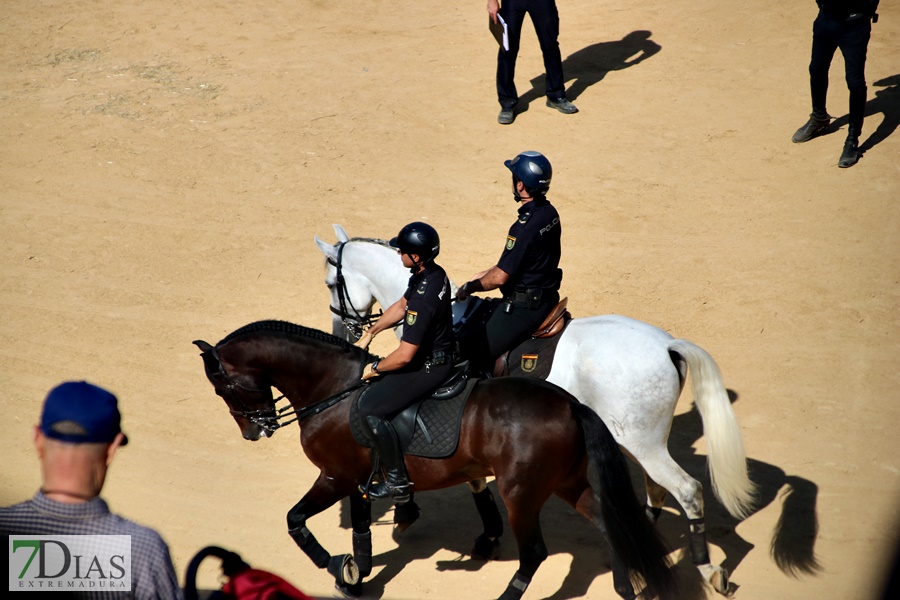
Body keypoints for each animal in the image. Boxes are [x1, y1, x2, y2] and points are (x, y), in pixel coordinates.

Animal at [197, 322, 676, 596]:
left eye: (222, 388)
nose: (254, 430)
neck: (335, 390)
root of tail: (570, 404)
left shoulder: (334, 477)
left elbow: (296, 521)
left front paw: (339, 566)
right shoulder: (356, 480)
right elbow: (361, 532)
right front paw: (356, 577)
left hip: (521, 495)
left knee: (534, 553)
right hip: (567, 483)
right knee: (608, 523)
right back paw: (626, 585)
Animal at [312, 225, 756, 596]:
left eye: (332, 283)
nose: (342, 331)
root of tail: (667, 345)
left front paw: (408, 509)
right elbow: (473, 479)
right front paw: (487, 533)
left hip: (642, 443)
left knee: (687, 491)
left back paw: (708, 571)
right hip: (639, 443)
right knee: (657, 490)